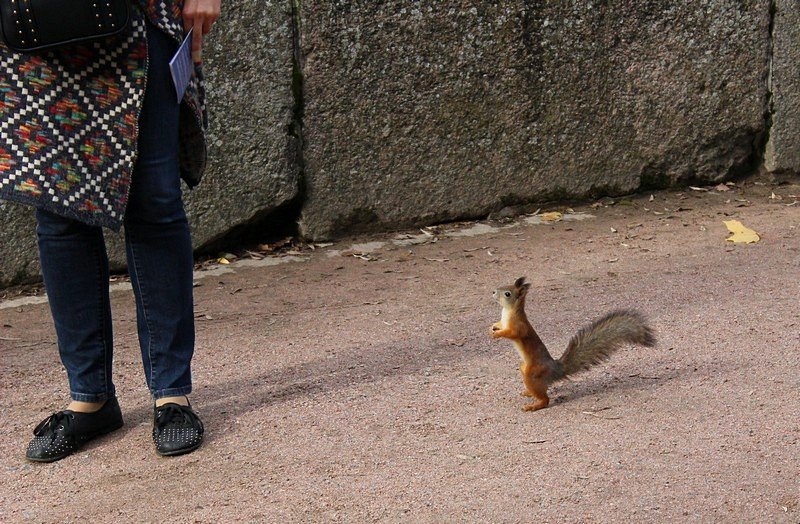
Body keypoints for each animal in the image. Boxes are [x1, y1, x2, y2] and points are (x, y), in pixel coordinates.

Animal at [488, 276, 656, 412]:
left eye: (507, 293)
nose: (493, 292)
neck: (508, 311)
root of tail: (555, 369)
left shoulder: (519, 327)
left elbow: (511, 333)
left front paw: (497, 334)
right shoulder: (504, 322)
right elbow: (499, 324)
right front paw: (492, 328)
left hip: (532, 373)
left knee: (545, 399)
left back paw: (534, 405)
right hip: (525, 368)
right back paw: (528, 392)